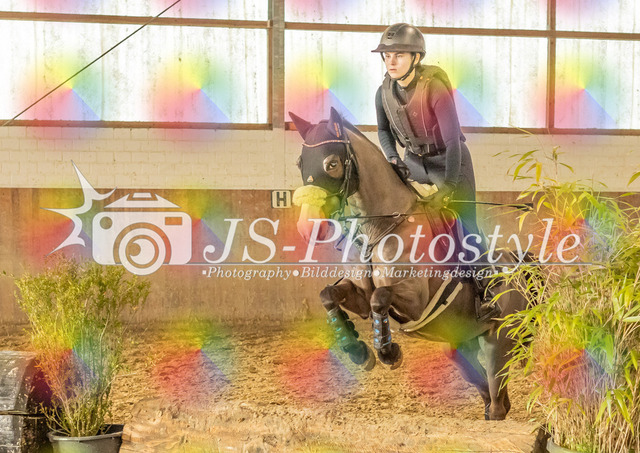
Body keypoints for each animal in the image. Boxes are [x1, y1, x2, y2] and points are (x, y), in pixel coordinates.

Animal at [289, 107, 531, 421]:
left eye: (331, 164)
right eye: (300, 162)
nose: (308, 227)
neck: (380, 230)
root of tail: (521, 270)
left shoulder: (417, 301)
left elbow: (380, 298)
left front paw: (388, 352)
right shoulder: (359, 294)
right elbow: (328, 295)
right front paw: (357, 351)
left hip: (499, 341)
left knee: (497, 392)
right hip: (460, 342)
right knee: (486, 388)